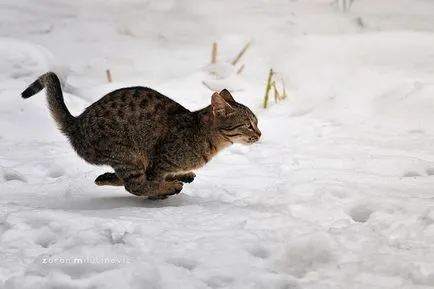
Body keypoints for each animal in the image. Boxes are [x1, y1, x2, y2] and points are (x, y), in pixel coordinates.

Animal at [22, 71, 262, 198]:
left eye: (256, 123)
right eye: (249, 125)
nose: (260, 133)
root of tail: (76, 122)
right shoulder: (161, 158)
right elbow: (150, 182)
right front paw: (164, 188)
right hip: (126, 152)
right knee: (134, 185)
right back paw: (170, 185)